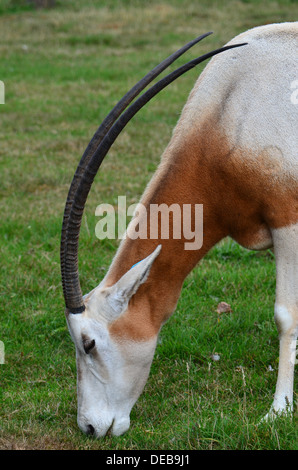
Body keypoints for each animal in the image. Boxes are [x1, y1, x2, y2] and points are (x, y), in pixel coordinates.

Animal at [61, 23, 298, 436]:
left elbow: (285, 316)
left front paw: (278, 410)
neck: (234, 107)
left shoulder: (288, 221)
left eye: (89, 343)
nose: (89, 427)